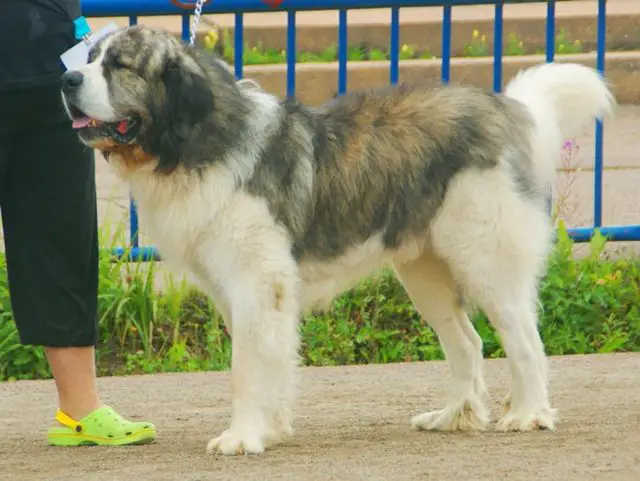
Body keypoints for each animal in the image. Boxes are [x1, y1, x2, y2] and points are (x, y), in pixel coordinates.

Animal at [61, 25, 616, 454]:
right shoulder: (242, 291)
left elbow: (246, 368)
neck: (196, 142)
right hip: (425, 273)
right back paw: (455, 415)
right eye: (88, 59)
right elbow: (268, 359)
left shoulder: (257, 283)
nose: (66, 79)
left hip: (485, 258)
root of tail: (505, 108)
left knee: (523, 338)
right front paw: (271, 428)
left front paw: (242, 437)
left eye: (119, 65)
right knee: (467, 342)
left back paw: (528, 414)